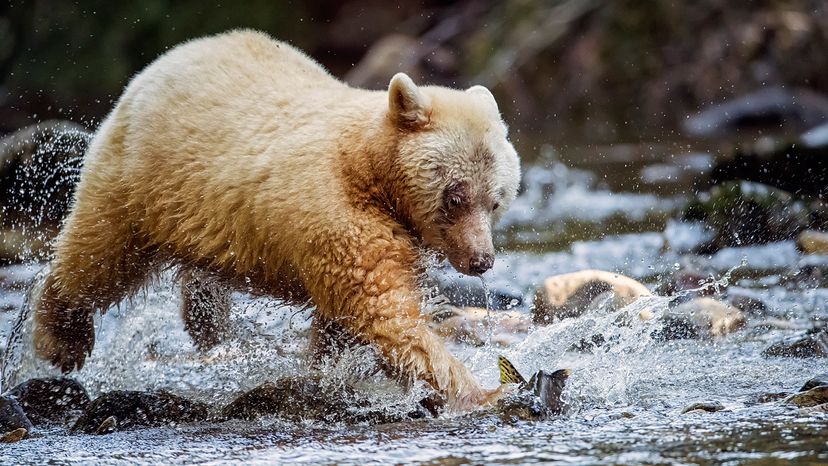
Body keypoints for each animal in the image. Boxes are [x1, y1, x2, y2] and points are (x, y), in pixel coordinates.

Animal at [32, 30, 520, 411]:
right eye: (455, 196)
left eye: (496, 200)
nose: (482, 260)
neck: (370, 169)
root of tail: (166, 59)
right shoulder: (336, 212)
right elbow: (384, 310)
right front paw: (480, 391)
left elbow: (345, 322)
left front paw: (331, 370)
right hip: (141, 180)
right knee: (100, 258)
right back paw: (63, 337)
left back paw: (208, 320)